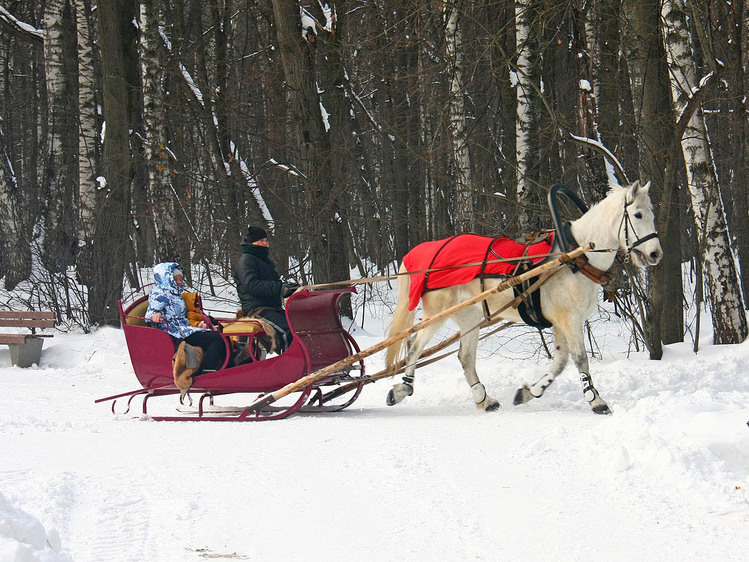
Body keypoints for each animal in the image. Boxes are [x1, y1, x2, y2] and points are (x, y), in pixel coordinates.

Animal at [386, 182, 660, 414]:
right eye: (637, 215)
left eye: (652, 214)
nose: (656, 253)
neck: (576, 256)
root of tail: (419, 253)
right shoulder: (569, 319)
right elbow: (580, 359)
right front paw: (596, 400)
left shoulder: (560, 321)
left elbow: (560, 362)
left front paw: (530, 392)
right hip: (437, 312)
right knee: (414, 346)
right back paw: (402, 389)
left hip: (470, 316)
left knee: (465, 357)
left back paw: (484, 400)